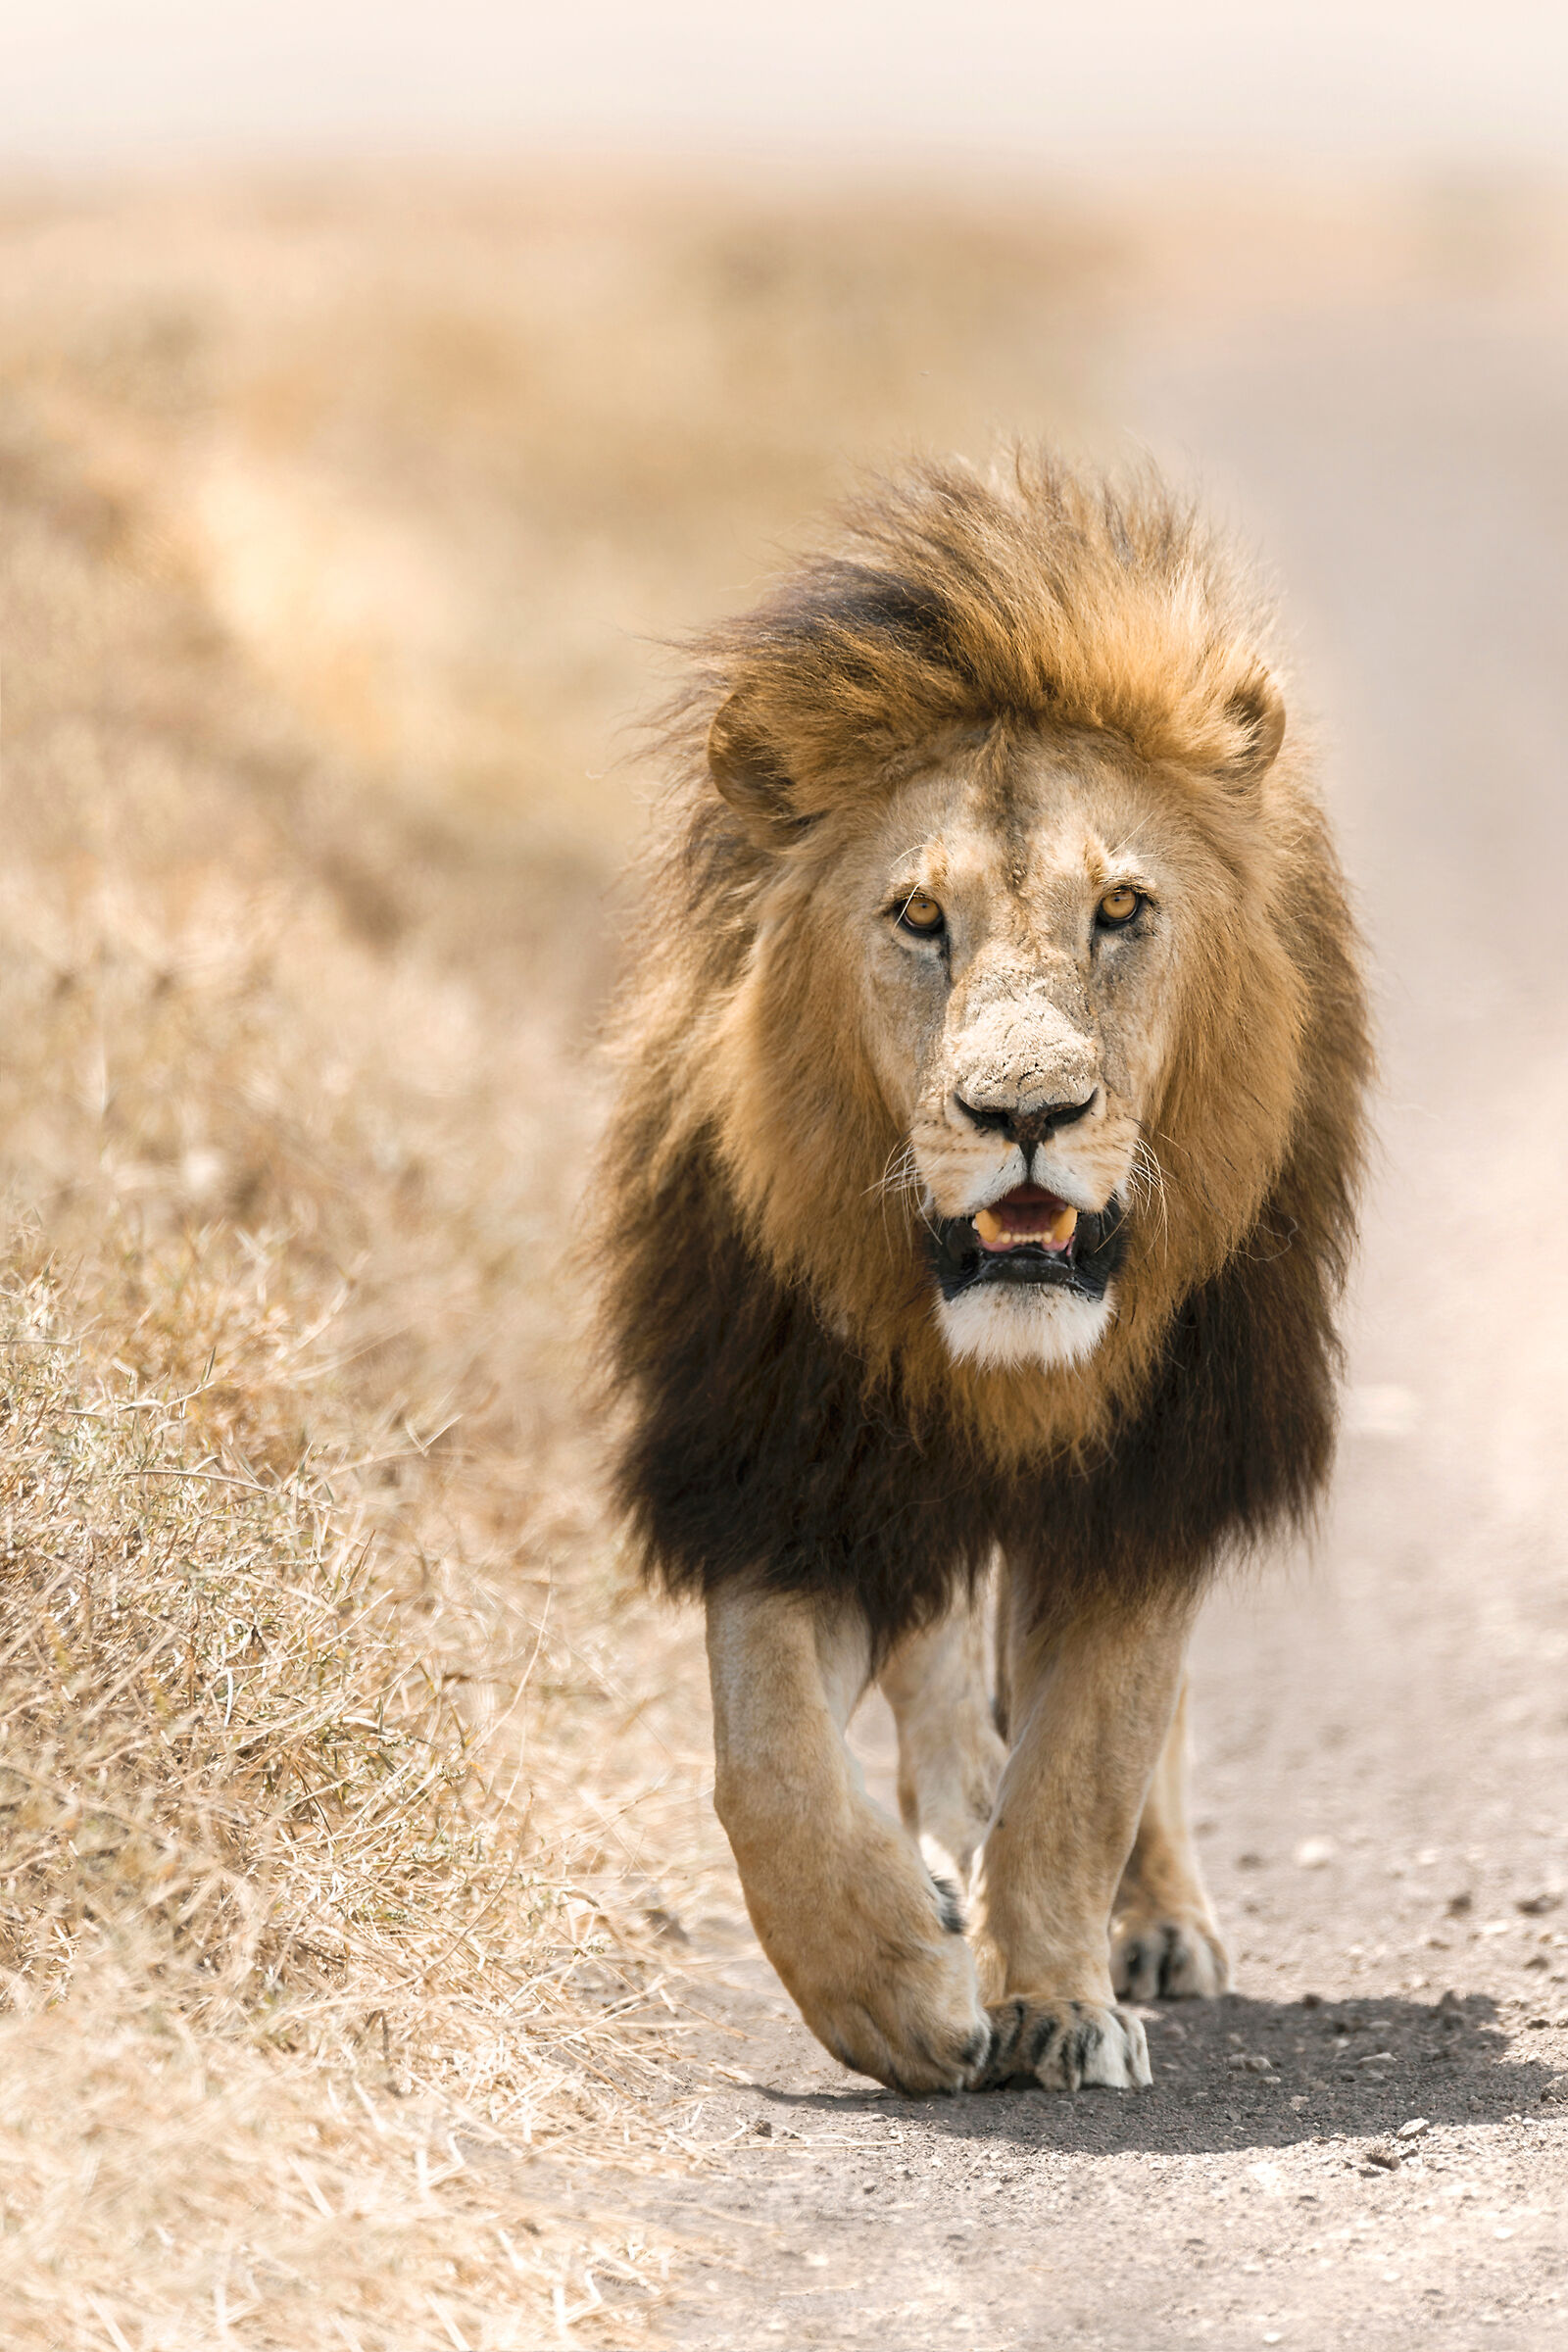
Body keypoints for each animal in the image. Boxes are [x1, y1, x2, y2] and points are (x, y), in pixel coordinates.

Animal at [598, 451, 1370, 2095]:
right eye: (917, 917)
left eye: (1123, 911)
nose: (1026, 1115)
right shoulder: (792, 1465)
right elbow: (767, 1768)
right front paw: (901, 1991)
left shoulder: (1155, 1477)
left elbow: (1090, 1765)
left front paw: (1061, 2006)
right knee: (946, 1698)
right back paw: (950, 1865)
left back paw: (1149, 1926)